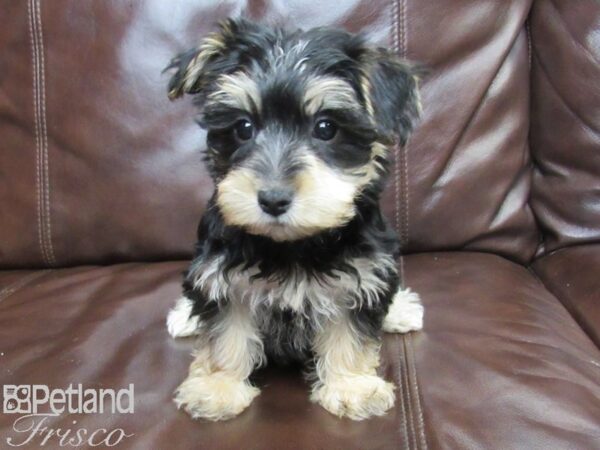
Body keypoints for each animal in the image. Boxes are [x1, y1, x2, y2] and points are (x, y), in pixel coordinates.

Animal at [166, 17, 424, 422]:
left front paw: (350, 387)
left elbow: (349, 333)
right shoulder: (222, 275)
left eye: (326, 128)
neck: (293, 245)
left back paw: (401, 310)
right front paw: (219, 387)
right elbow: (226, 332)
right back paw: (185, 316)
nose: (273, 199)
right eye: (243, 127)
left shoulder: (360, 274)